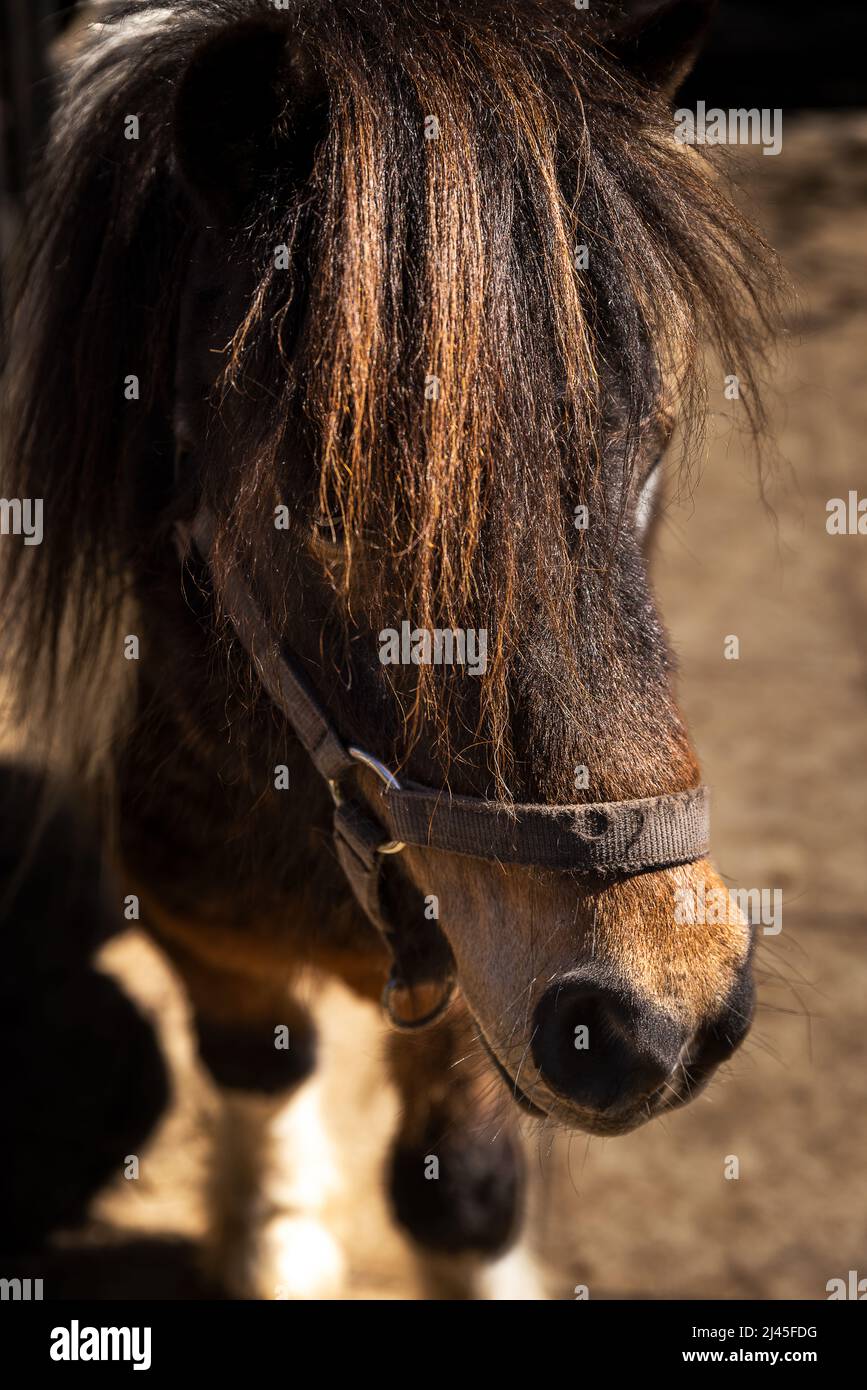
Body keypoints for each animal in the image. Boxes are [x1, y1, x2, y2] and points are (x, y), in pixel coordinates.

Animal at [1, 2, 778, 1301]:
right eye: (322, 507)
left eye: (653, 449)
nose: (656, 1021)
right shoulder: (208, 939)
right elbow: (264, 1094)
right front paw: (272, 1228)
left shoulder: (476, 1008)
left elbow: (461, 1196)